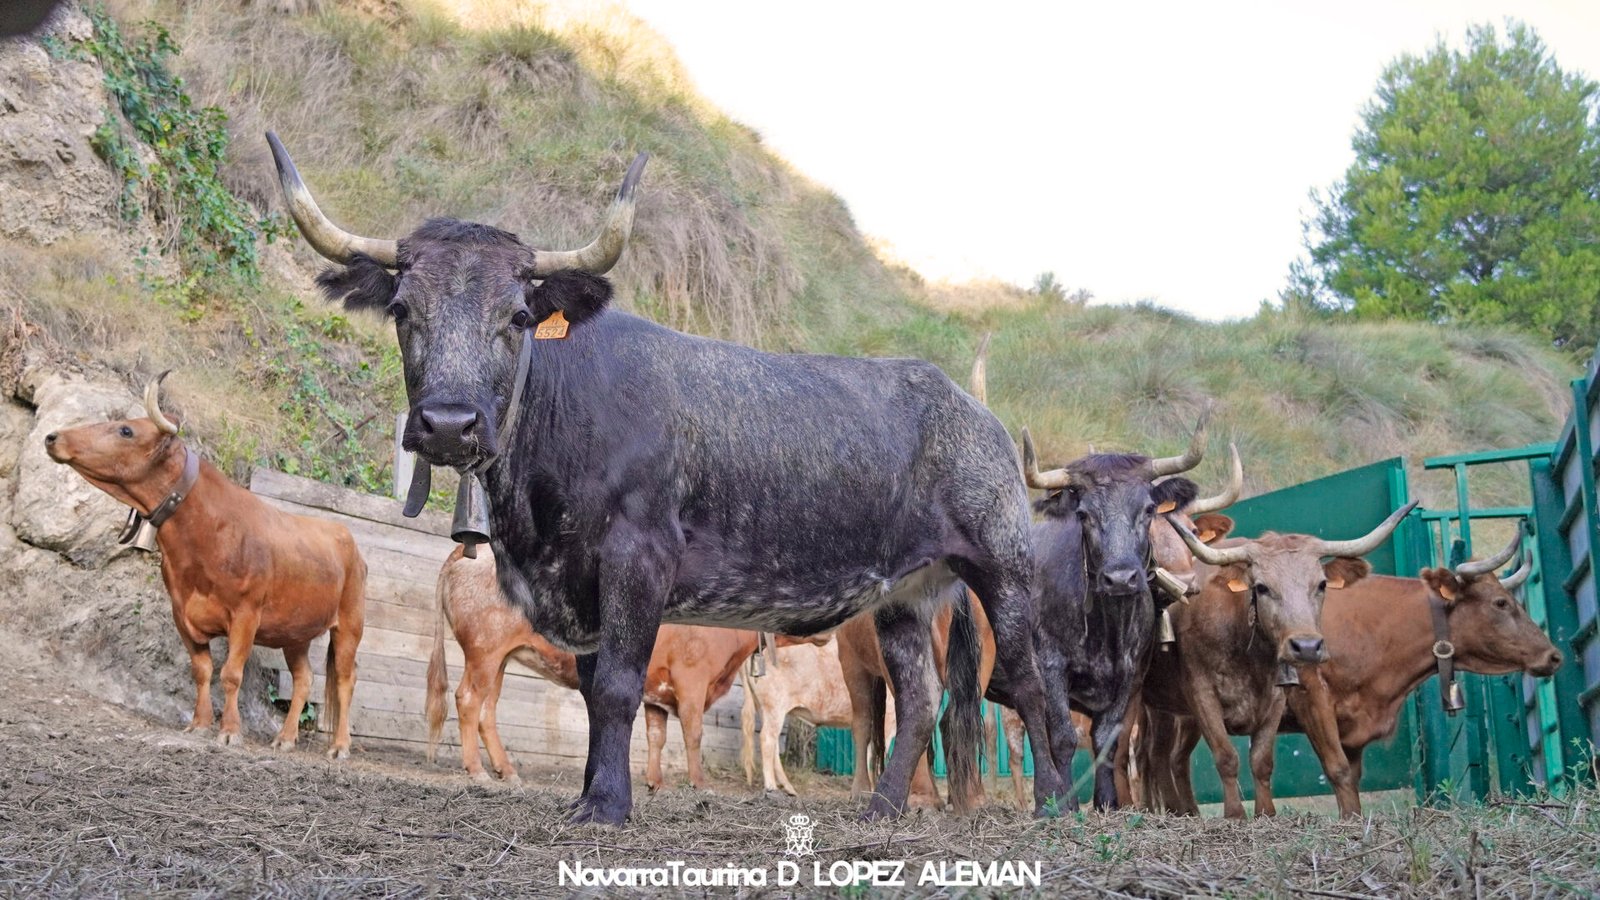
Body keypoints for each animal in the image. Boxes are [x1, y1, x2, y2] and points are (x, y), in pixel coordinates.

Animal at [48, 369, 366, 749]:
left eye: (126, 430)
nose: (53, 436)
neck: (200, 546)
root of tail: (345, 535)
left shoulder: (246, 615)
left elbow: (231, 674)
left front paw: (230, 730)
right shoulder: (181, 612)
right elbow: (201, 671)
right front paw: (199, 724)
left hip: (350, 624)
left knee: (346, 679)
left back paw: (340, 746)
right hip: (296, 634)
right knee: (304, 679)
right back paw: (285, 739)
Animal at [422, 538, 752, 784]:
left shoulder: (657, 689)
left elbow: (656, 736)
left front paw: (654, 784)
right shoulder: (691, 680)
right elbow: (693, 733)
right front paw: (700, 784)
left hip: (499, 657)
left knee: (486, 710)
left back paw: (508, 771)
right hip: (484, 650)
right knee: (468, 700)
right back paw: (477, 771)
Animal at [979, 416, 1203, 810]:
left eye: (1148, 509)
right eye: (1084, 514)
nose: (1120, 577)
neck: (1106, 628)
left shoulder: (1130, 676)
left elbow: (1107, 739)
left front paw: (1106, 801)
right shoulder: (1051, 667)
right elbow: (1063, 736)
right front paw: (1066, 802)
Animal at [1139, 499, 1414, 816]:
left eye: (1321, 584)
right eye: (1261, 587)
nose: (1306, 646)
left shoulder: (1276, 698)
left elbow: (1261, 762)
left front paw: (1265, 813)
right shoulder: (1202, 694)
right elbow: (1226, 757)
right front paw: (1235, 816)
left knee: (1167, 757)